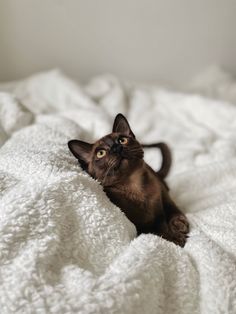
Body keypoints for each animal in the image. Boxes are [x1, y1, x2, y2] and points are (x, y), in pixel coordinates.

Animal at [67, 114, 189, 247]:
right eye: (101, 153)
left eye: (122, 140)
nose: (116, 148)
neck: (134, 186)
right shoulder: (142, 227)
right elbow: (158, 231)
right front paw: (176, 238)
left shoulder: (161, 199)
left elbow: (170, 207)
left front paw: (179, 225)